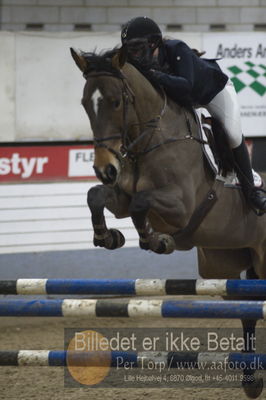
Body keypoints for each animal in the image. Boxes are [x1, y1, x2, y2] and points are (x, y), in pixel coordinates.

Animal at [70, 46, 266, 396]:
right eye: (84, 103)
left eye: (115, 102)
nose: (105, 168)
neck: (150, 139)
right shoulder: (121, 198)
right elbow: (97, 196)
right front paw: (109, 237)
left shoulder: (181, 205)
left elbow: (142, 203)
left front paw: (156, 240)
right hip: (225, 266)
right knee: (246, 310)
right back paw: (250, 379)